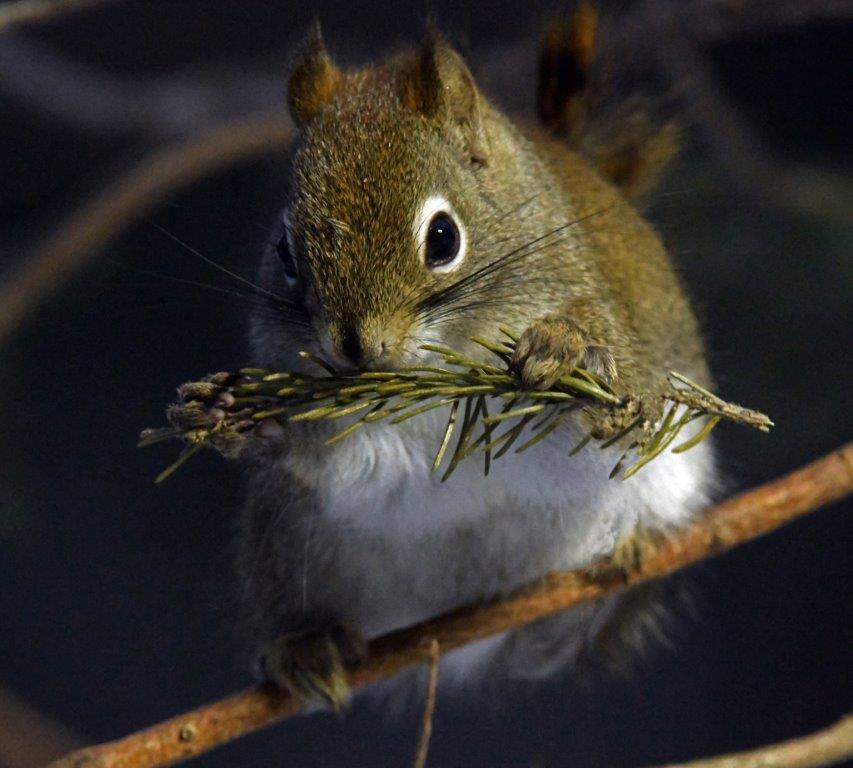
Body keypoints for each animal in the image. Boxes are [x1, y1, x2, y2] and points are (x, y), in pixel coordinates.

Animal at [237, 9, 715, 710]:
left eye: (443, 237)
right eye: (284, 251)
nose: (358, 348)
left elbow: (616, 389)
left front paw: (565, 350)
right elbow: (341, 463)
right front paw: (265, 423)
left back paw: (619, 564)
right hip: (291, 544)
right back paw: (307, 646)